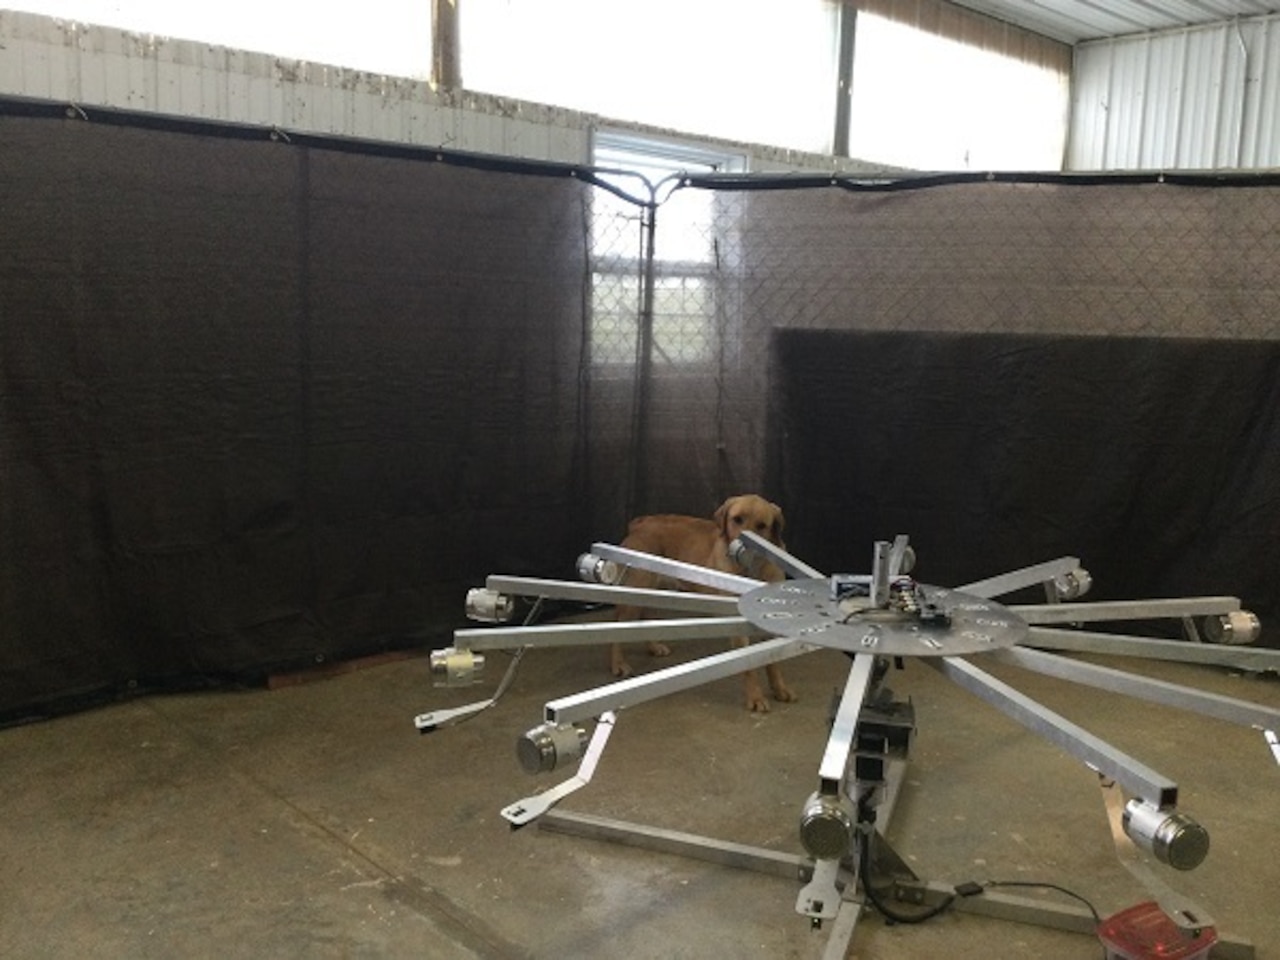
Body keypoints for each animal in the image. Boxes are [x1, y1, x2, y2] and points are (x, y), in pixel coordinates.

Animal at [611, 496, 798, 716]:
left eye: (762, 526)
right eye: (737, 519)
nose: (742, 547)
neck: (751, 570)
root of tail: (641, 522)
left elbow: (773, 662)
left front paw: (780, 689)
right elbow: (749, 666)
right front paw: (755, 697)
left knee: (645, 614)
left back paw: (654, 646)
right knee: (618, 625)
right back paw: (618, 663)